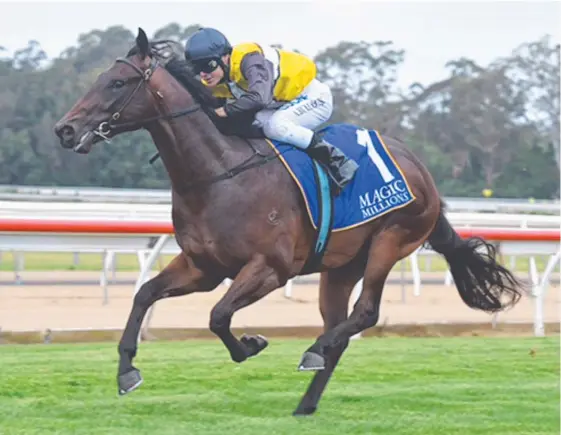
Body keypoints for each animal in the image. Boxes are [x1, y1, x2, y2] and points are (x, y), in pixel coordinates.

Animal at [53, 28, 524, 418]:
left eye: (117, 83)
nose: (64, 129)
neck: (219, 175)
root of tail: (421, 171)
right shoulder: (203, 267)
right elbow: (144, 295)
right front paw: (126, 373)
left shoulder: (270, 268)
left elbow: (218, 316)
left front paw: (251, 344)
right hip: (341, 267)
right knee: (339, 328)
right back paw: (306, 400)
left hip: (391, 239)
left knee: (365, 313)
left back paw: (313, 352)